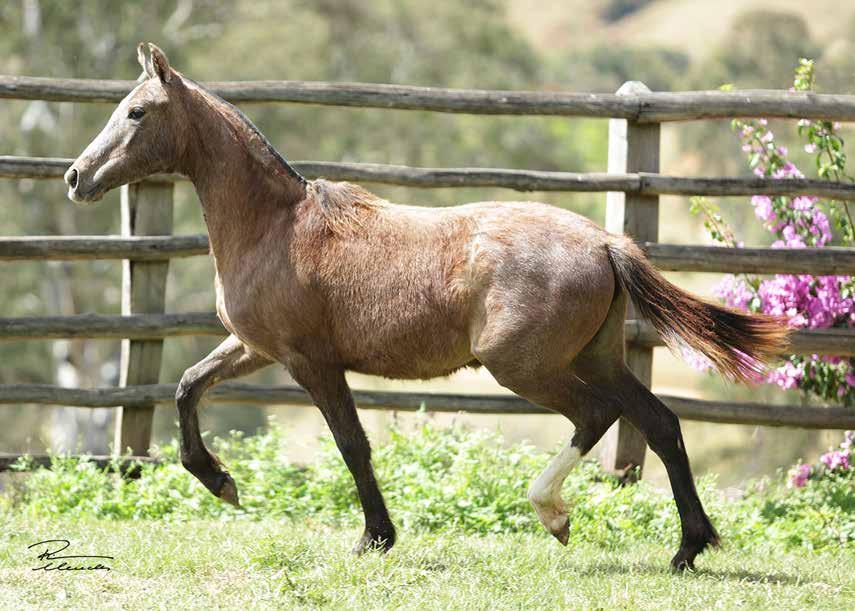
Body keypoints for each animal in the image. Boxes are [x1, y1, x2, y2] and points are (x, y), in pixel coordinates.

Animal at [65, 44, 788, 572]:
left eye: (135, 112)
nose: (76, 177)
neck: (277, 228)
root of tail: (604, 241)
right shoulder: (255, 347)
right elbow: (187, 387)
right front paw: (220, 481)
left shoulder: (308, 360)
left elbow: (351, 443)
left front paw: (374, 538)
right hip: (598, 355)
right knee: (659, 422)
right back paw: (687, 548)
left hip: (522, 365)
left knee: (598, 414)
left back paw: (554, 514)